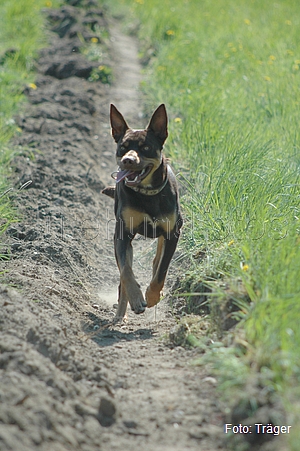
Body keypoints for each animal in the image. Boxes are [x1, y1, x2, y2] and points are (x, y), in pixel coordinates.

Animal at [102, 104, 183, 324]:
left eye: (145, 147)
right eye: (123, 147)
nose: (128, 160)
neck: (147, 194)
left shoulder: (173, 233)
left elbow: (162, 270)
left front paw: (153, 296)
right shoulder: (122, 234)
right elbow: (126, 271)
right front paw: (137, 298)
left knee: (157, 261)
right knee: (123, 274)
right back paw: (121, 314)